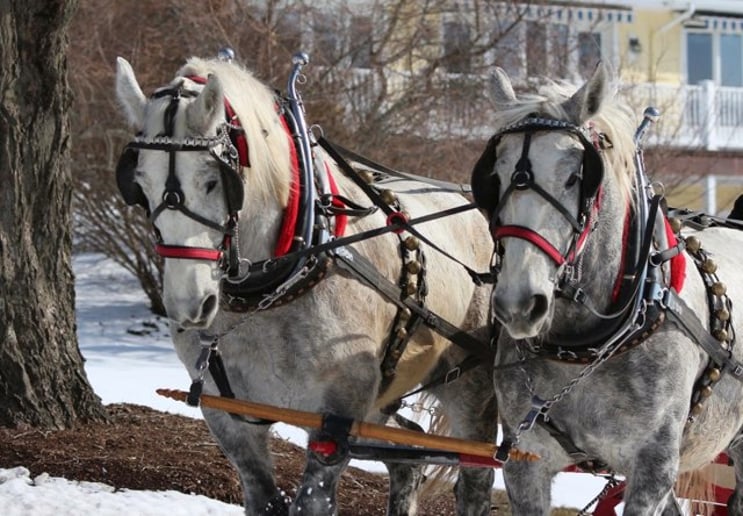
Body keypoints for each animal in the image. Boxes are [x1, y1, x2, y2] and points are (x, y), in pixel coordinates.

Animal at [113, 53, 497, 515]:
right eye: (140, 183)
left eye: (213, 180)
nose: (189, 305)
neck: (270, 292)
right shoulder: (229, 419)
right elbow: (263, 499)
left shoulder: (334, 422)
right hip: (380, 402)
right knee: (409, 458)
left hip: (470, 385)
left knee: (475, 477)